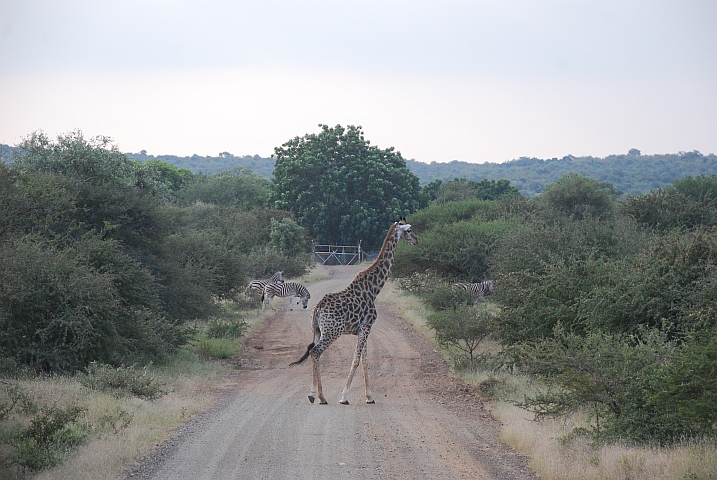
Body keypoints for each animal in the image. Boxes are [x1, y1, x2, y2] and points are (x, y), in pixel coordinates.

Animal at [288, 218, 416, 404]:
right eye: (409, 230)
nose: (416, 240)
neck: (374, 289)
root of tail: (317, 309)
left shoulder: (364, 329)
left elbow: (365, 361)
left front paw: (369, 397)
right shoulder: (366, 327)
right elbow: (356, 360)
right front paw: (344, 397)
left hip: (317, 331)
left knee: (313, 353)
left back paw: (313, 395)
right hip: (332, 332)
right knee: (316, 351)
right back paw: (321, 396)